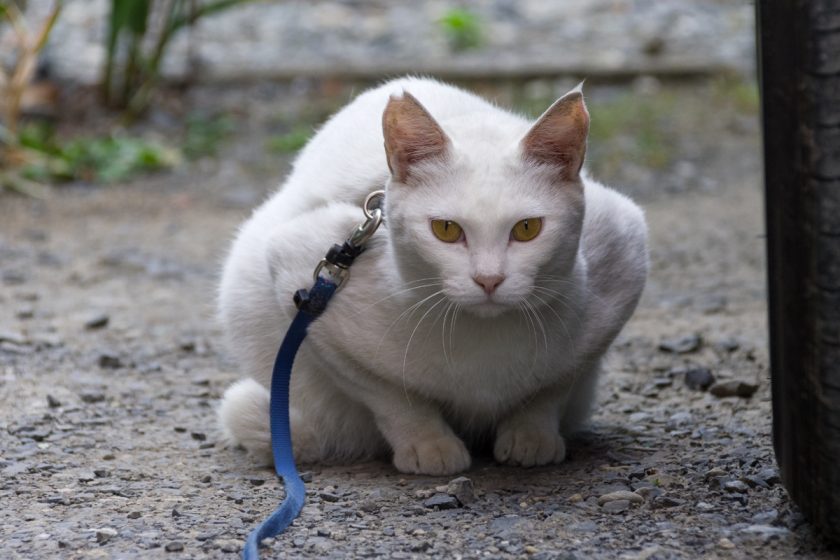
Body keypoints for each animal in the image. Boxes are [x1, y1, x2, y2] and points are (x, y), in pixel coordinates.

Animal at [218, 76, 648, 474]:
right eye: (445, 229)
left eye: (527, 228)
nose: (489, 279)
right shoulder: (301, 279)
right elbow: (390, 394)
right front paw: (428, 445)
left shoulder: (623, 254)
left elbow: (554, 386)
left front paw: (531, 434)